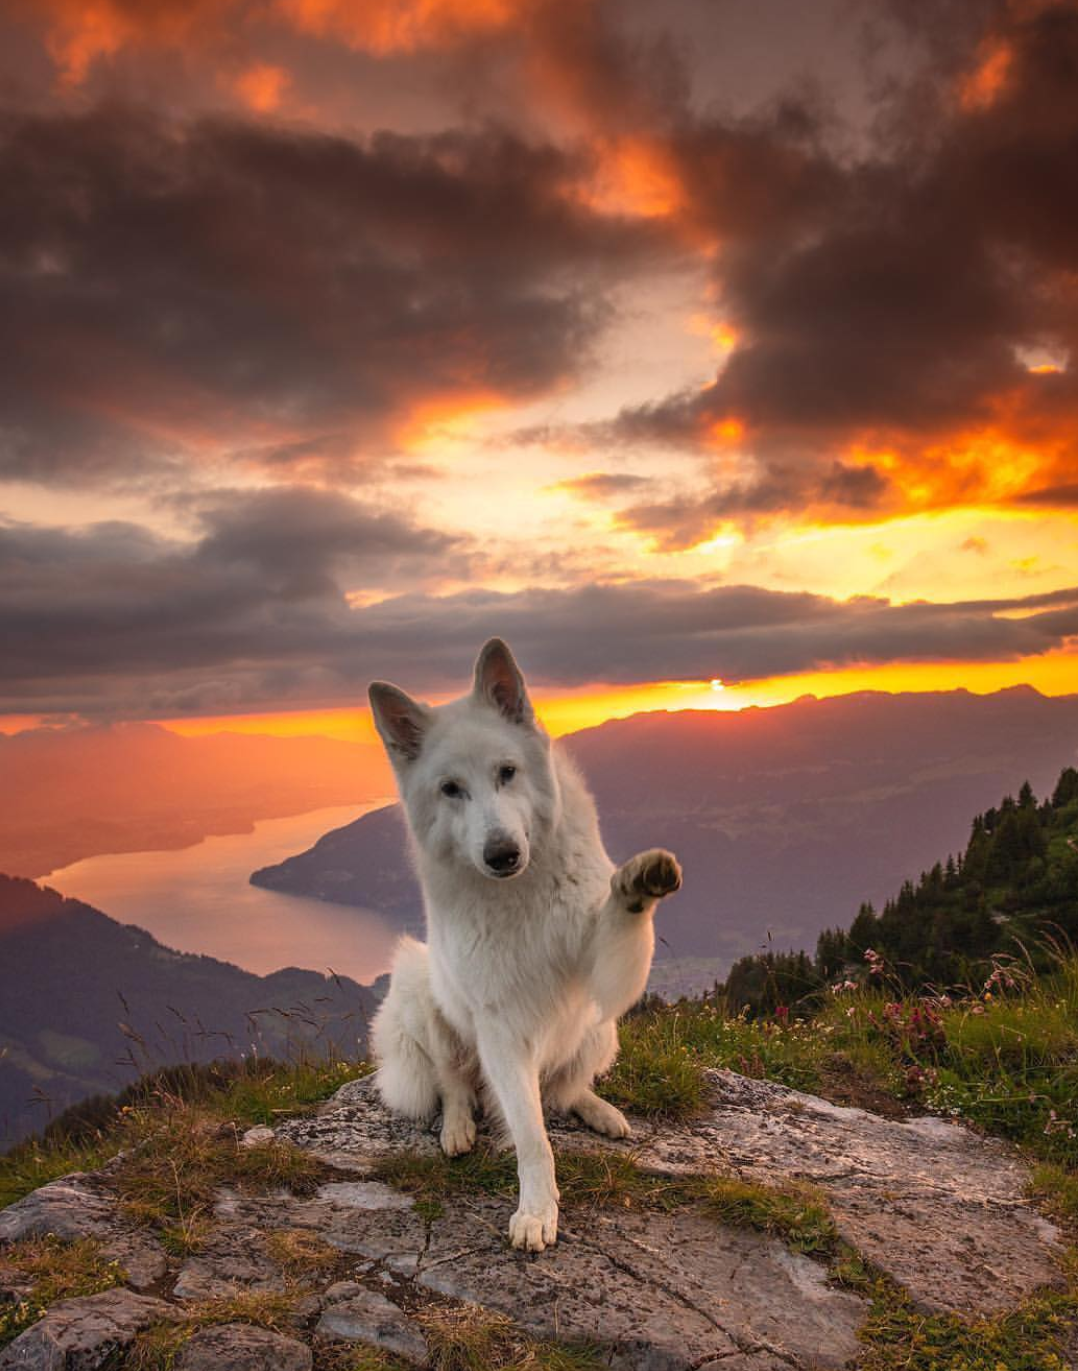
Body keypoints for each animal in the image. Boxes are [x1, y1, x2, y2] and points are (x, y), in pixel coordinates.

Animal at [364, 636, 677, 1250]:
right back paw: (458, 1127)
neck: (523, 891)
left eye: (507, 772)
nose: (502, 854)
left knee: (564, 1090)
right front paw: (537, 1211)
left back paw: (599, 1110)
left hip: (599, 1029)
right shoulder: (502, 1029)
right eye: (451, 790)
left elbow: (621, 913)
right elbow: (533, 1138)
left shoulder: (608, 973)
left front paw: (636, 884)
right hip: (420, 991)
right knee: (455, 1083)